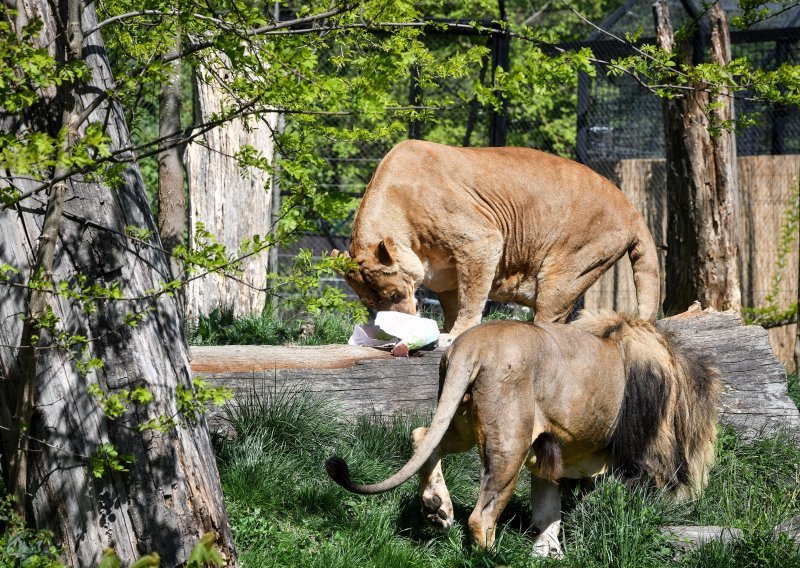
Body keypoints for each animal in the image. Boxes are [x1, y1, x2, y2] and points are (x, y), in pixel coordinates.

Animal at [324, 310, 720, 556]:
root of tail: (473, 344)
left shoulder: (549, 455)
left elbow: (547, 513)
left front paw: (548, 553)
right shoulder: (650, 456)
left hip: (462, 418)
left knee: (423, 436)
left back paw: (437, 507)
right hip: (509, 442)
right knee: (481, 517)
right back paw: (492, 555)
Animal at [334, 140, 660, 340]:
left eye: (395, 295)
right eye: (372, 303)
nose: (398, 331)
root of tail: (632, 208)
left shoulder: (481, 240)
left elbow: (472, 298)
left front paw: (455, 336)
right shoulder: (446, 279)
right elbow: (455, 303)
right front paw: (445, 331)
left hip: (566, 271)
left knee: (552, 322)